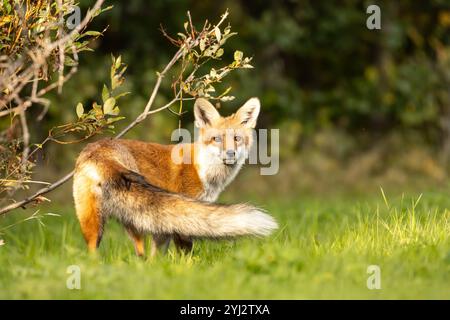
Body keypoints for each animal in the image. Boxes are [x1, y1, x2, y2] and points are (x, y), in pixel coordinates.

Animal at [73, 97, 278, 258]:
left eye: (237, 139)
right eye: (217, 139)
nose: (230, 154)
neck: (203, 171)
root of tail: (98, 151)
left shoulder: (163, 225)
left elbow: (158, 256)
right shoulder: (182, 220)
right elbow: (185, 254)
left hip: (105, 221)